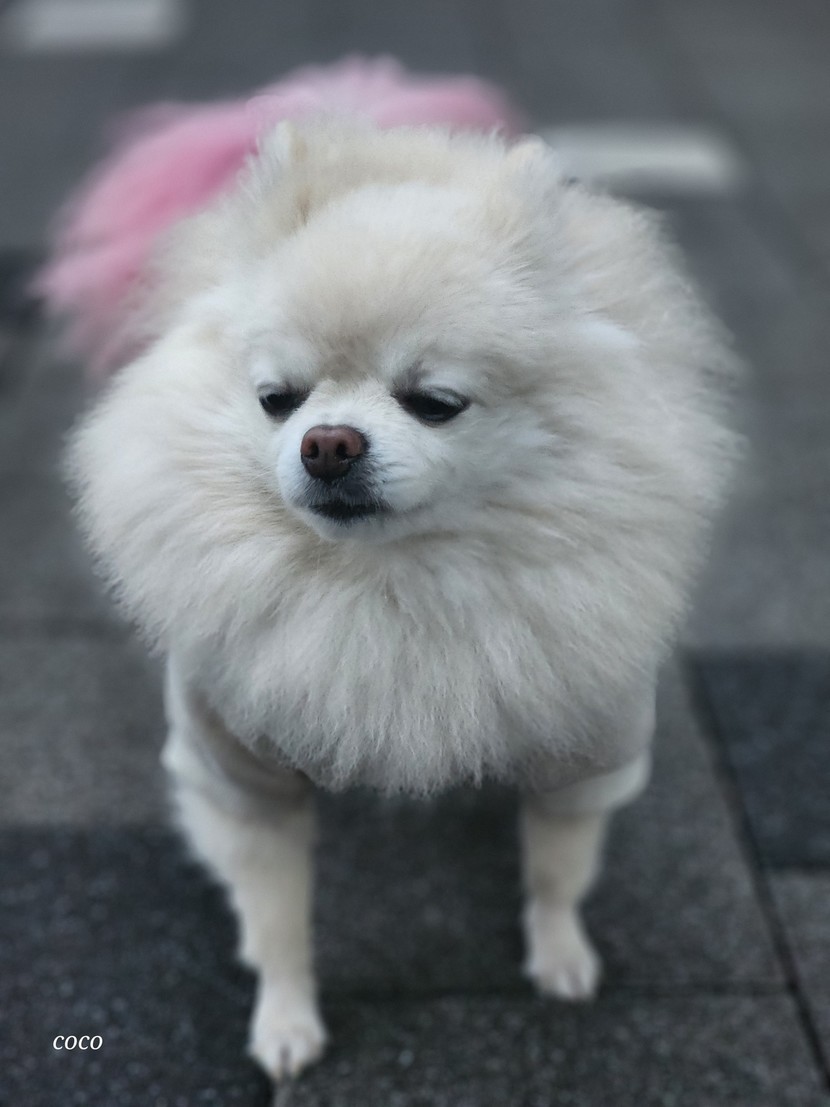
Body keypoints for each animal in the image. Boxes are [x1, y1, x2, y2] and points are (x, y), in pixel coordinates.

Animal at [64, 118, 736, 1080]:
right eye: (277, 398)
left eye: (435, 401)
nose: (329, 444)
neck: (387, 587)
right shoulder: (237, 766)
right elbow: (276, 910)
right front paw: (286, 1017)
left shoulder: (587, 745)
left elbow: (557, 868)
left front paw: (561, 954)